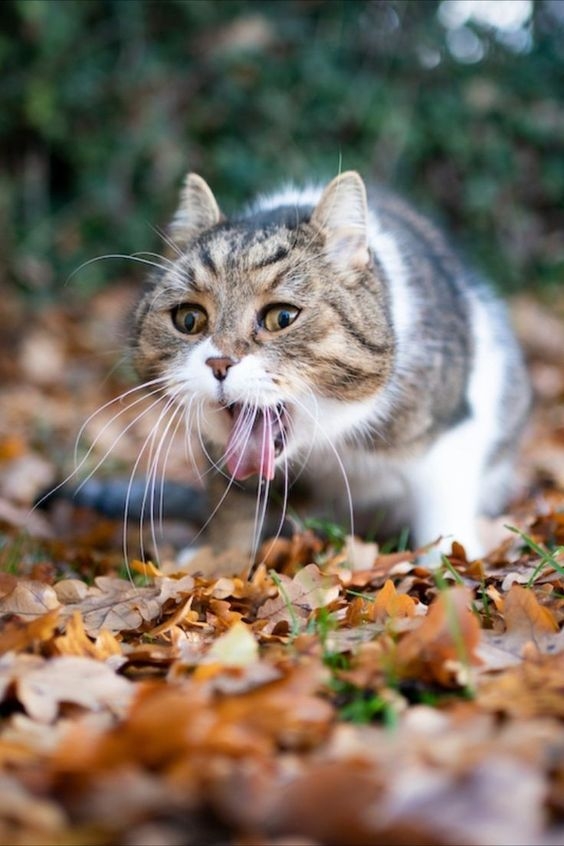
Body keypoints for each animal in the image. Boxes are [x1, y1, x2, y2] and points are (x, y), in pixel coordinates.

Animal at [130, 171, 532, 564]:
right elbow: (234, 504)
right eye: (189, 319)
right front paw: (217, 560)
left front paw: (451, 563)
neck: (326, 440)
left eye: (282, 317)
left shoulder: (450, 426)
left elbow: (442, 500)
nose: (219, 362)